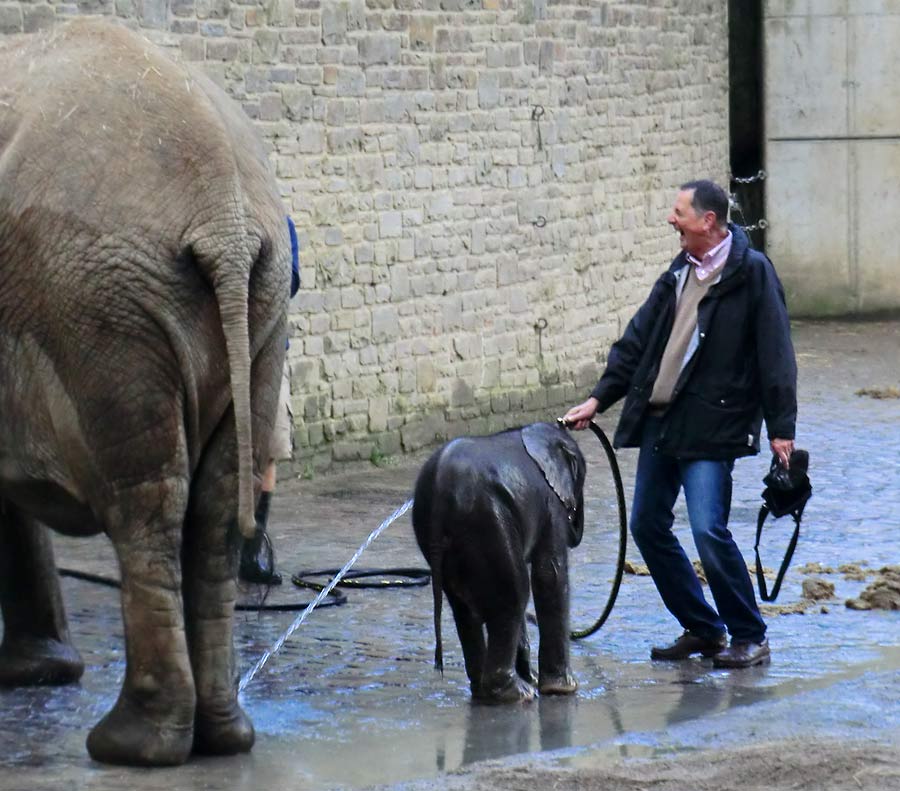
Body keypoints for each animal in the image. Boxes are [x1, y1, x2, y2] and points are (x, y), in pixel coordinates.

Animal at [0, 21, 290, 768]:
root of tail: (224, 216)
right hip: (259, 302)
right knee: (215, 503)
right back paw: (222, 737)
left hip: (106, 313)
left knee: (147, 500)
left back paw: (131, 745)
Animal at [414, 424, 588, 704]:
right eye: (581, 475)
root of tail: (440, 489)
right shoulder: (550, 503)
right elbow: (549, 573)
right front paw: (563, 689)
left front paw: (536, 679)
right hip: (488, 520)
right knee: (515, 593)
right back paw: (517, 694)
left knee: (466, 607)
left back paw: (485, 690)